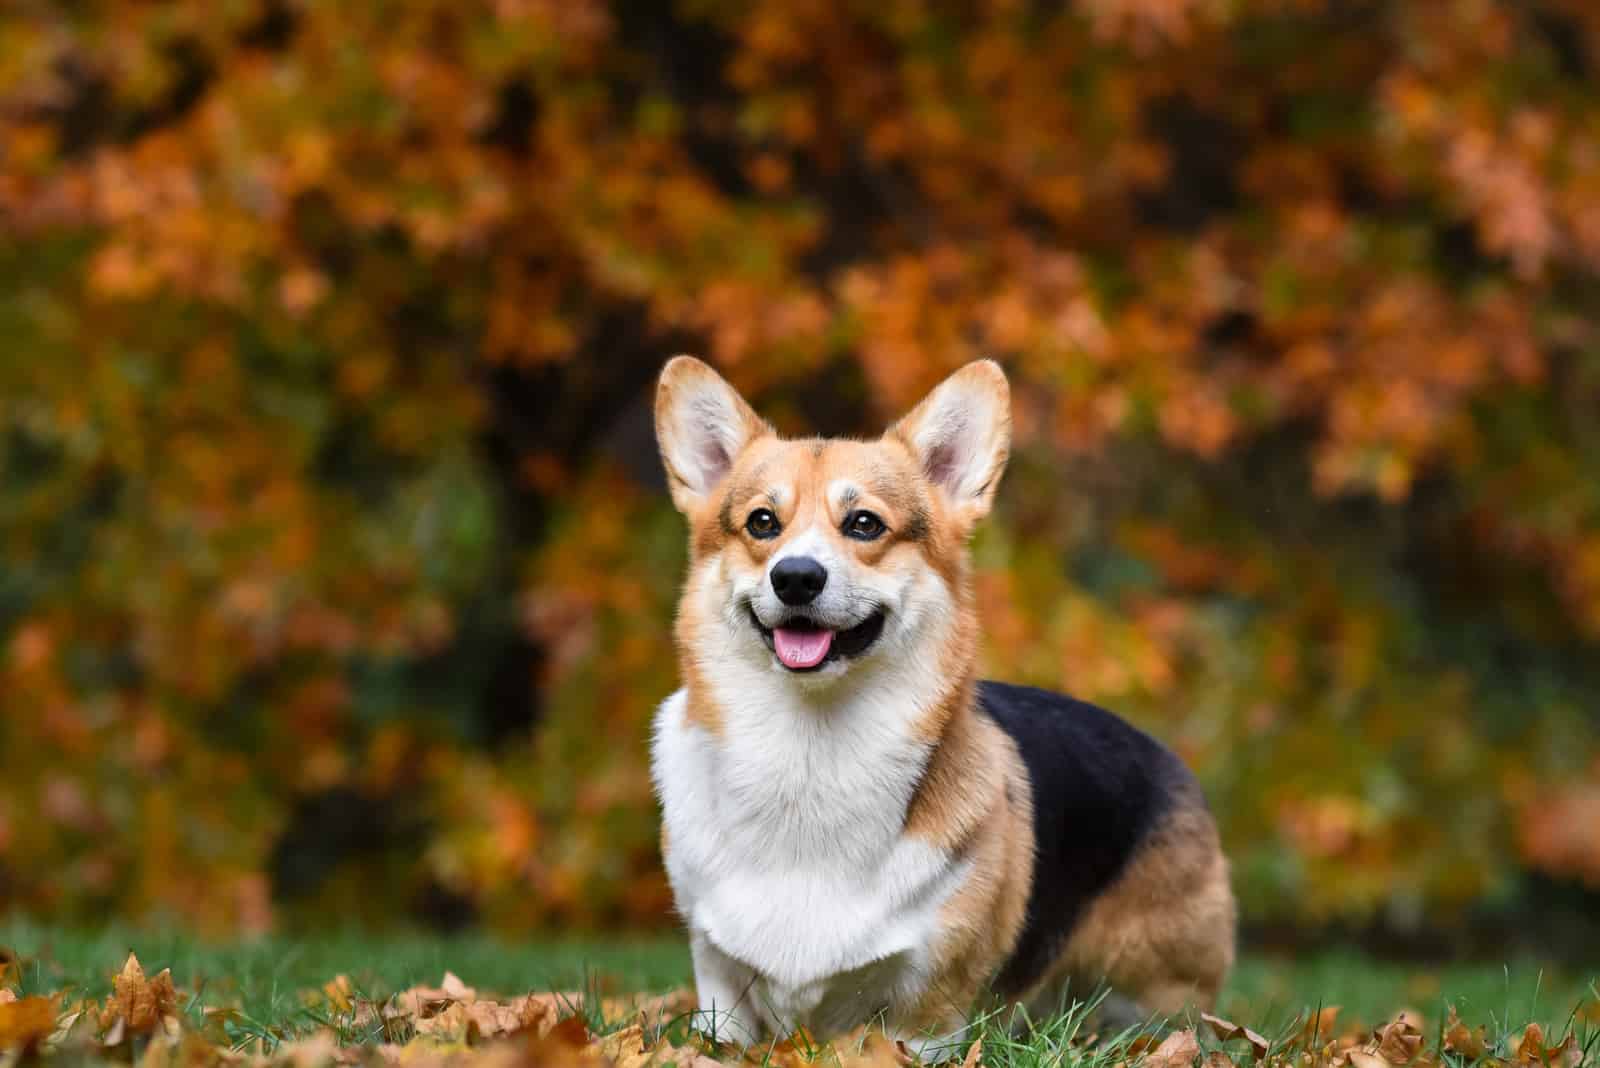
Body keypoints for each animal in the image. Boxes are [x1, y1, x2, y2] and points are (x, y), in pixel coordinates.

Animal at [649, 356, 1235, 1048]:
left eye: (865, 524)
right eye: (763, 522)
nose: (795, 577)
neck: (810, 751)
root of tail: (1163, 754)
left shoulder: (927, 1012)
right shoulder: (718, 984)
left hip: (1153, 993)